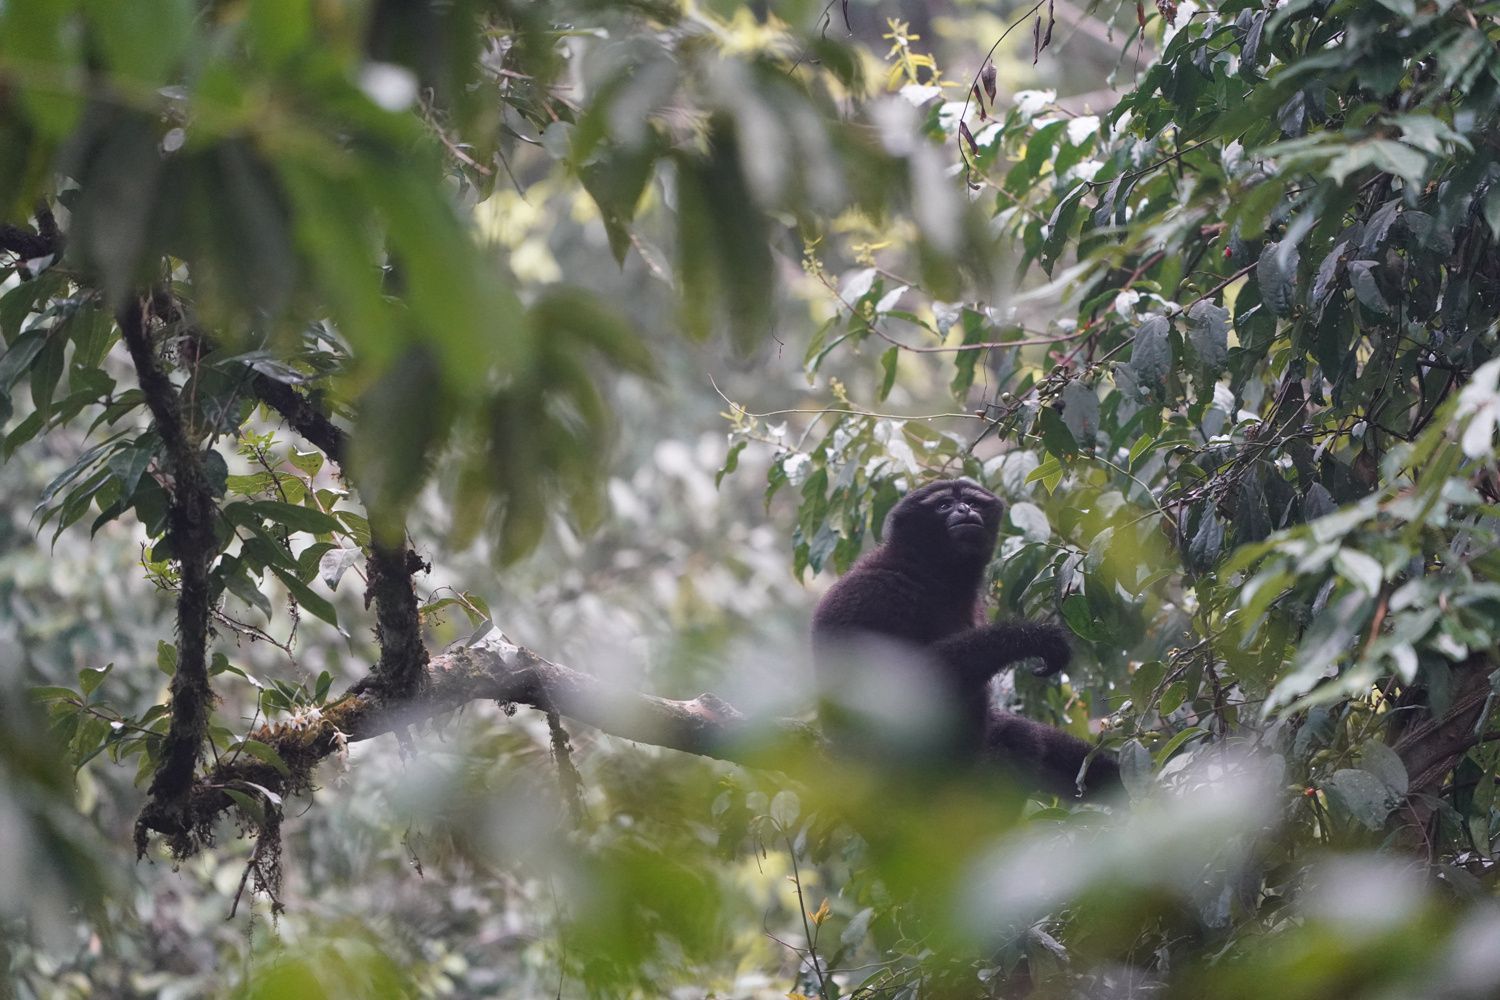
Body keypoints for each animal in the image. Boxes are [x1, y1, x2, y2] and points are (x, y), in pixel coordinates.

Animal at [816, 479, 1122, 803]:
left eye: (973, 503)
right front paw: (1034, 637)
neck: (927, 573)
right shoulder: (875, 594)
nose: (963, 509)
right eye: (943, 505)